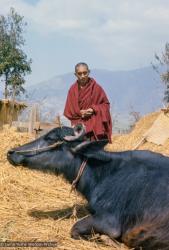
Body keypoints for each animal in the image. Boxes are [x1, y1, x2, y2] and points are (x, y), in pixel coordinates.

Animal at [7, 126, 169, 249]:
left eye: (51, 139)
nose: (11, 152)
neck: (104, 171)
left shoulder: (110, 222)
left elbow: (75, 229)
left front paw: (106, 240)